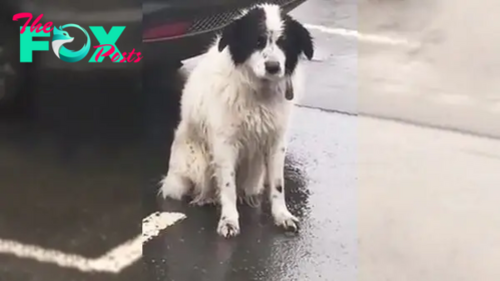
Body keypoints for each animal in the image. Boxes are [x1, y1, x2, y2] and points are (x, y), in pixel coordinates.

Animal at [160, 3, 314, 236]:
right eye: (257, 41)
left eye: (284, 42)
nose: (273, 67)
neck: (259, 93)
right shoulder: (225, 144)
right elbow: (227, 187)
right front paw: (229, 220)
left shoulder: (276, 141)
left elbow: (278, 185)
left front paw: (282, 215)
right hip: (195, 164)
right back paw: (205, 198)